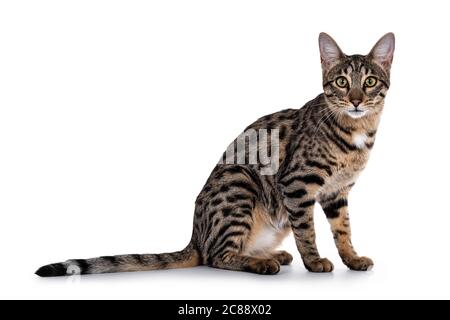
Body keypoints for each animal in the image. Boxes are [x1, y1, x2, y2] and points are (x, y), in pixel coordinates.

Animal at [36, 33, 394, 278]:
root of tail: (195, 237)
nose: (356, 99)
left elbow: (343, 230)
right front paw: (315, 261)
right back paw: (261, 263)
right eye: (342, 82)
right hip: (239, 184)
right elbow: (307, 230)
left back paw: (271, 256)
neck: (355, 131)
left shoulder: (337, 192)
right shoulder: (297, 183)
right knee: (216, 256)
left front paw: (352, 258)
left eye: (370, 81)